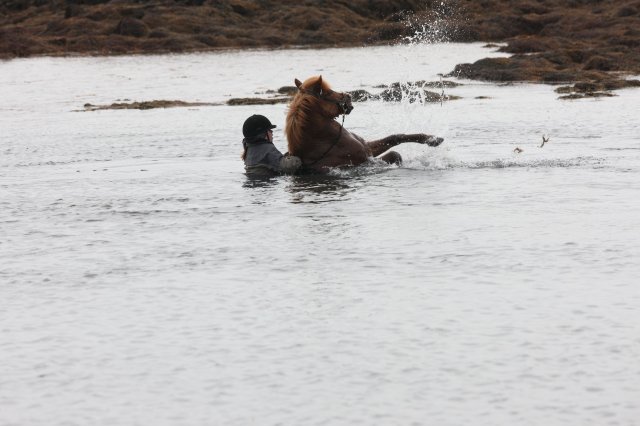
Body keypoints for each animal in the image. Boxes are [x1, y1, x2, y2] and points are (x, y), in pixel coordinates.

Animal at [288, 75, 442, 173]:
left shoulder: (368, 148)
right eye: (328, 92)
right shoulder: (365, 160)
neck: (324, 141)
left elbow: (395, 137)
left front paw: (433, 139)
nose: (349, 96)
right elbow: (395, 154)